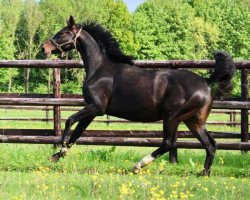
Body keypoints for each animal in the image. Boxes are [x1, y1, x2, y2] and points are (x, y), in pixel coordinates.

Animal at [42, 16, 235, 175]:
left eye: (63, 32)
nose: (45, 47)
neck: (100, 70)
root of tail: (206, 82)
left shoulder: (96, 108)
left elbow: (69, 121)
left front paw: (60, 149)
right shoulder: (93, 111)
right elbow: (77, 133)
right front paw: (57, 155)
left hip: (172, 117)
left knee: (168, 143)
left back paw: (137, 166)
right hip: (193, 121)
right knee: (211, 144)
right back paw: (204, 173)